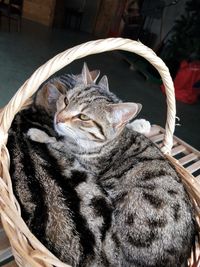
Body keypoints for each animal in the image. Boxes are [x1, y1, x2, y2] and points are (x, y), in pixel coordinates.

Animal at [27, 63, 196, 266]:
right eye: (65, 100)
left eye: (83, 117)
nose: (58, 118)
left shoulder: (79, 157)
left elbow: (56, 142)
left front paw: (39, 134)